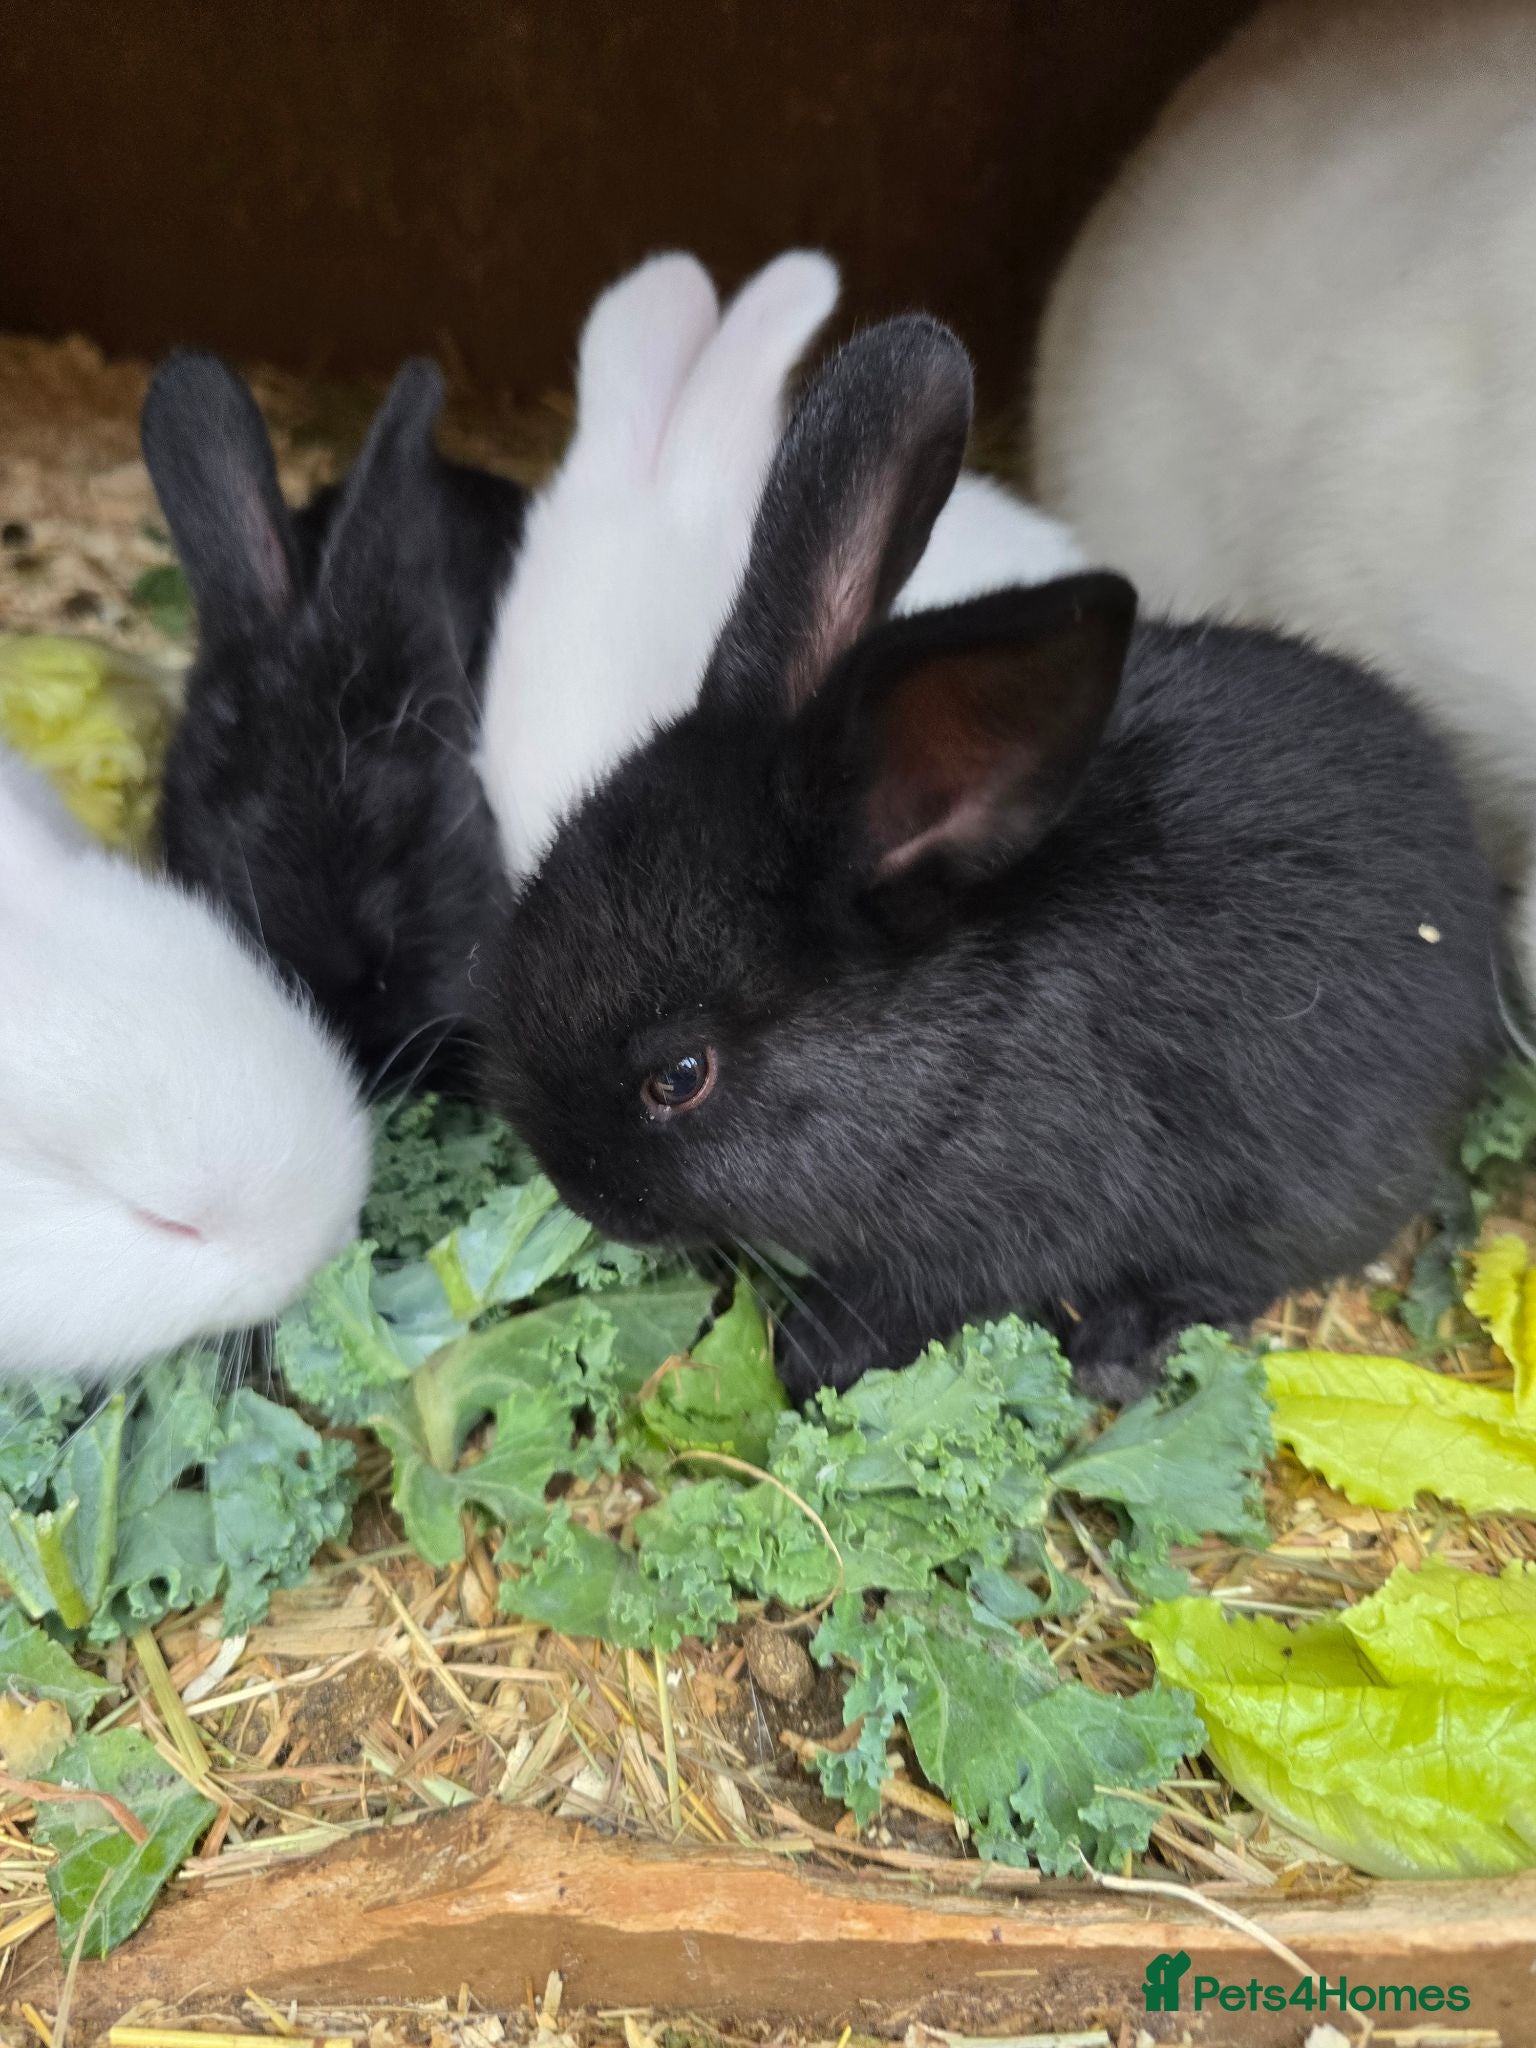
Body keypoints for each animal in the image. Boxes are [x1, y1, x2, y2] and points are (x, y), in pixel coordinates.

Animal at [481, 314, 1503, 1405]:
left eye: (680, 1075)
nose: (575, 1186)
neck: (944, 1060)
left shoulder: (1001, 1227)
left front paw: (808, 1355)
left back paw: (1123, 1344)